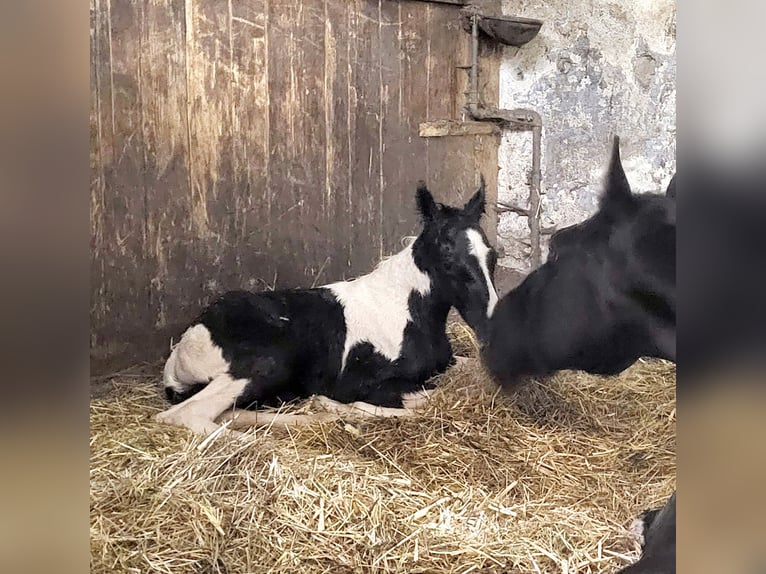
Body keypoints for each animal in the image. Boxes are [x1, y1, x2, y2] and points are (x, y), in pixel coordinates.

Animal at [159, 181, 500, 436]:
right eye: (448, 260)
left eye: (493, 256)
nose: (490, 323)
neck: (408, 312)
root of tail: (180, 353)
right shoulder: (365, 383)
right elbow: (429, 398)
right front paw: (343, 406)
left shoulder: (449, 362)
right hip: (261, 365)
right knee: (184, 415)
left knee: (230, 413)